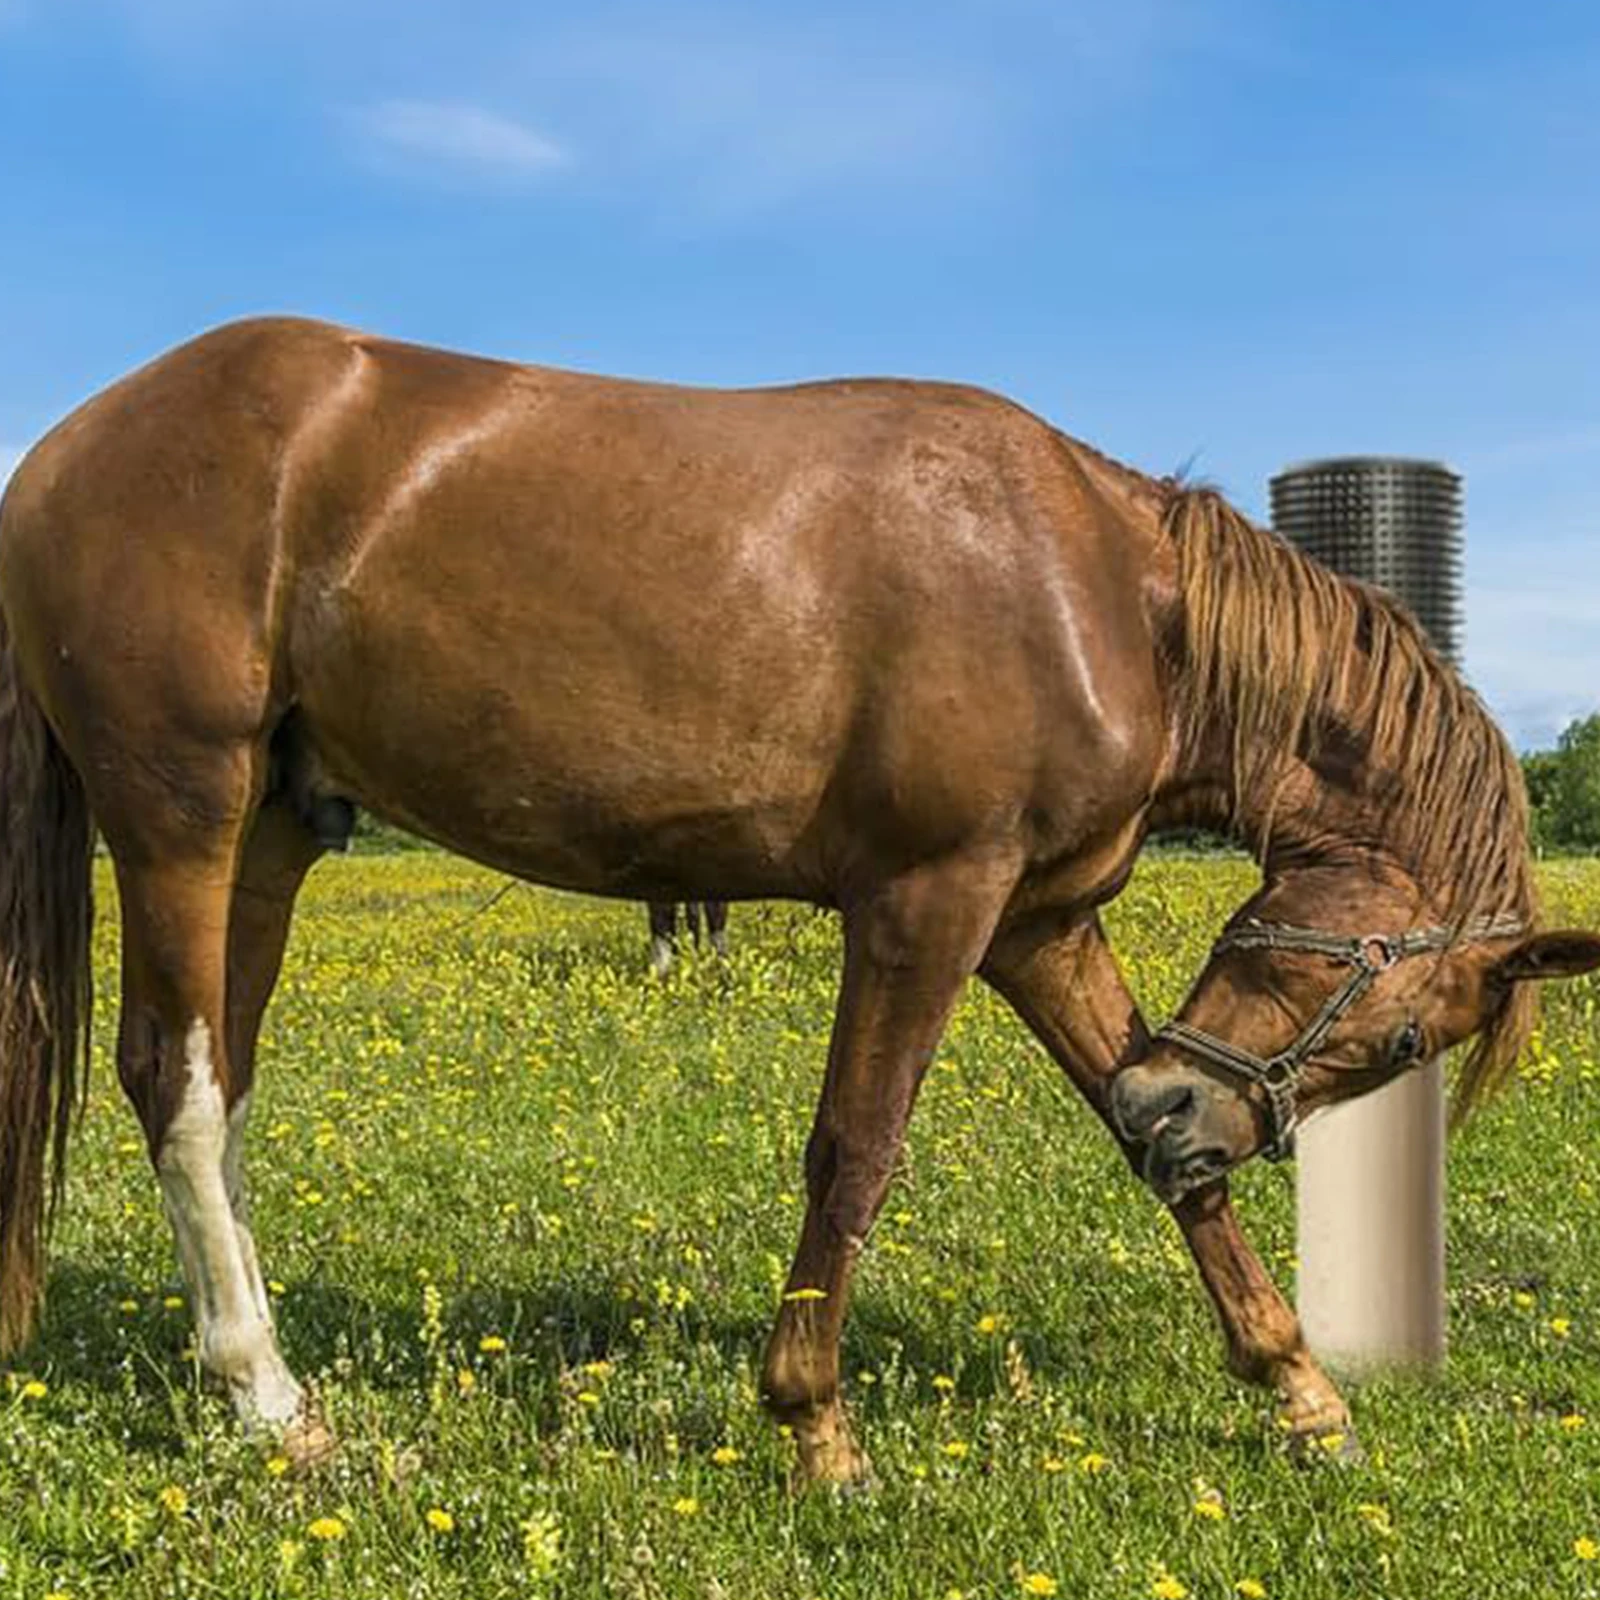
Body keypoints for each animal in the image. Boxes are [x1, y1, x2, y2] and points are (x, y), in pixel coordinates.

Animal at [0, 317, 1594, 1483]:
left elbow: (1144, 1155)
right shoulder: (928, 905)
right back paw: (267, 1396)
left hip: (273, 828)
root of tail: (64, 450)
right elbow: (856, 1149)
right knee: (173, 1082)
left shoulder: (1039, 923)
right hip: (180, 814)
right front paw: (814, 1422)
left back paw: (246, 1362)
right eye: (1404, 1037)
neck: (1099, 589)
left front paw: (1299, 1386)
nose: (1183, 1104)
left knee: (223, 1084)